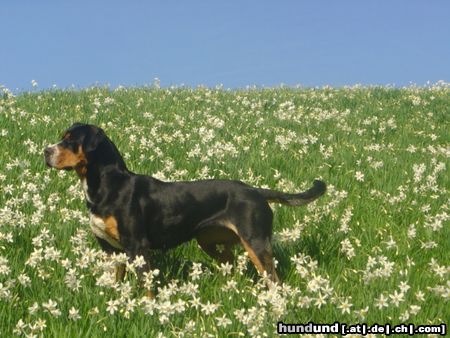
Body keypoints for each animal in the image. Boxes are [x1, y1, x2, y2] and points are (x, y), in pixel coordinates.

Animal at [44, 123, 326, 290]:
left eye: (70, 140)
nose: (46, 151)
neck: (107, 185)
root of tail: (255, 190)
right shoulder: (110, 249)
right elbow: (117, 279)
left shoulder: (137, 246)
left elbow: (146, 286)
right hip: (210, 241)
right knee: (230, 263)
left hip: (255, 241)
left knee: (273, 278)